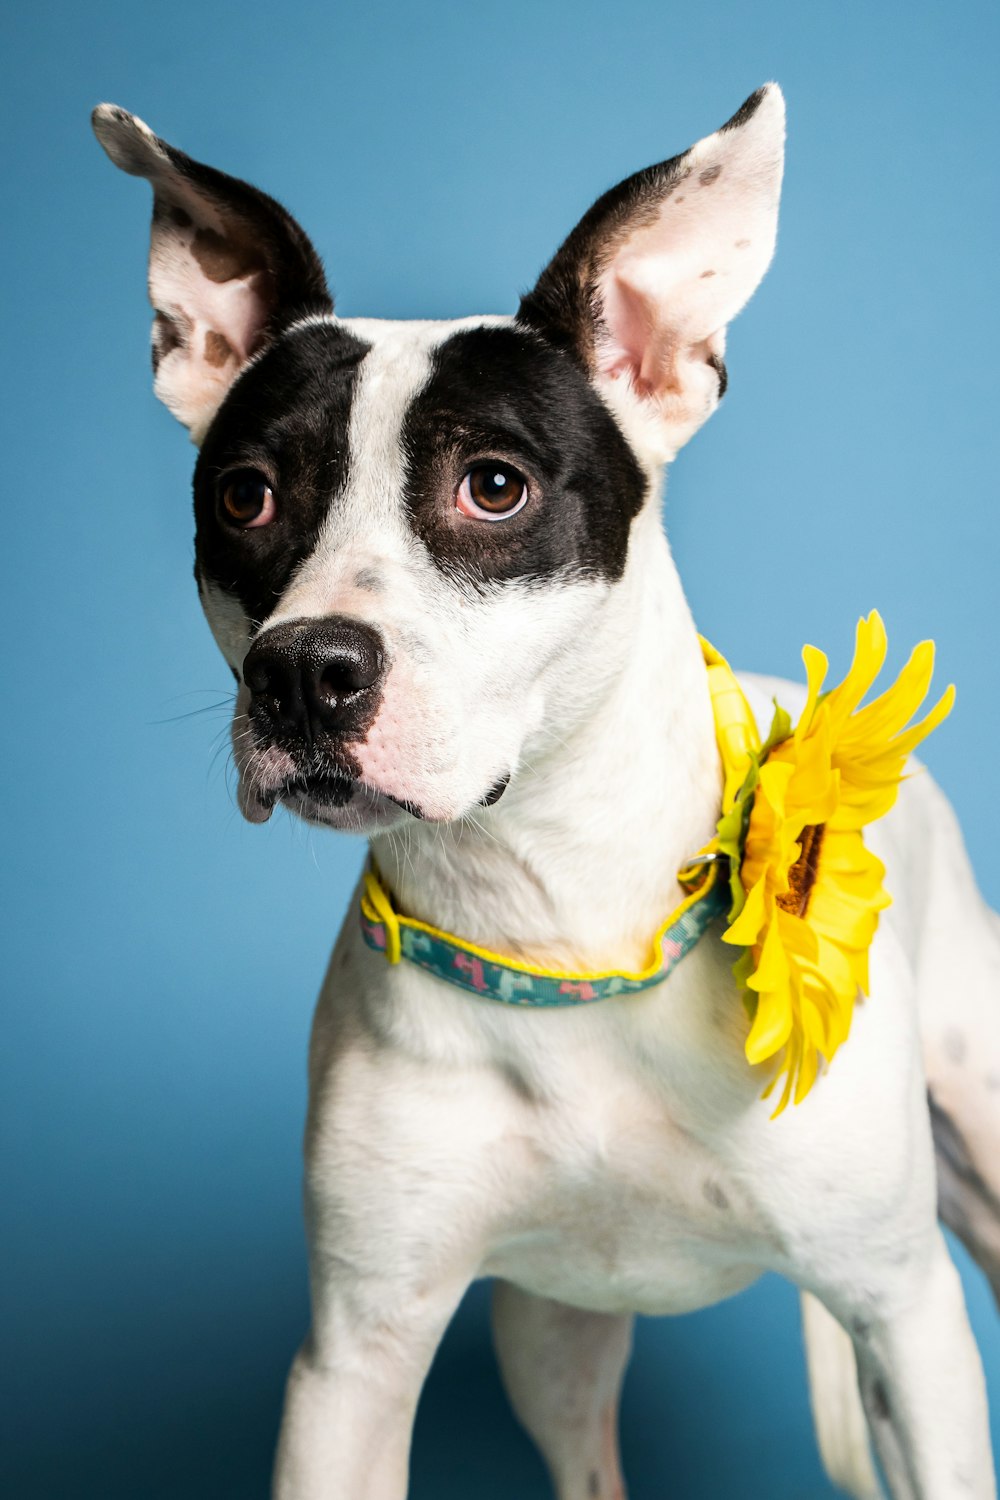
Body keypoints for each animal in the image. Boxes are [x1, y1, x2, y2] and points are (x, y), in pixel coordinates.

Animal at [93, 87, 1000, 1494]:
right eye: (245, 495)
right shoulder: (352, 1366)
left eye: (494, 485)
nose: (302, 674)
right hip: (549, 1342)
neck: (555, 923)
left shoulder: (906, 1321)